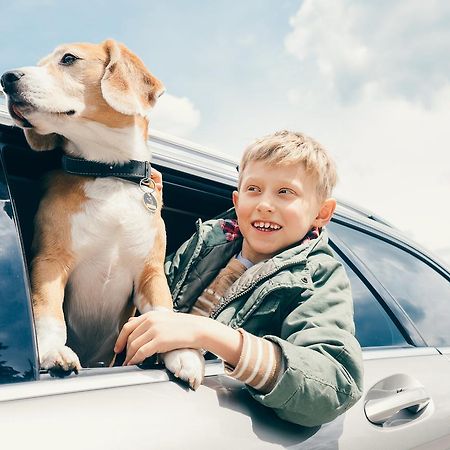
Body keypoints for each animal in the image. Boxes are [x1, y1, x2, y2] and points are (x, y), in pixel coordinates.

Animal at [0, 38, 204, 388]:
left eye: (68, 59)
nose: (6, 78)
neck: (109, 172)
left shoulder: (150, 272)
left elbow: (163, 311)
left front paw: (183, 355)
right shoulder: (50, 261)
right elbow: (48, 311)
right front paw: (52, 352)